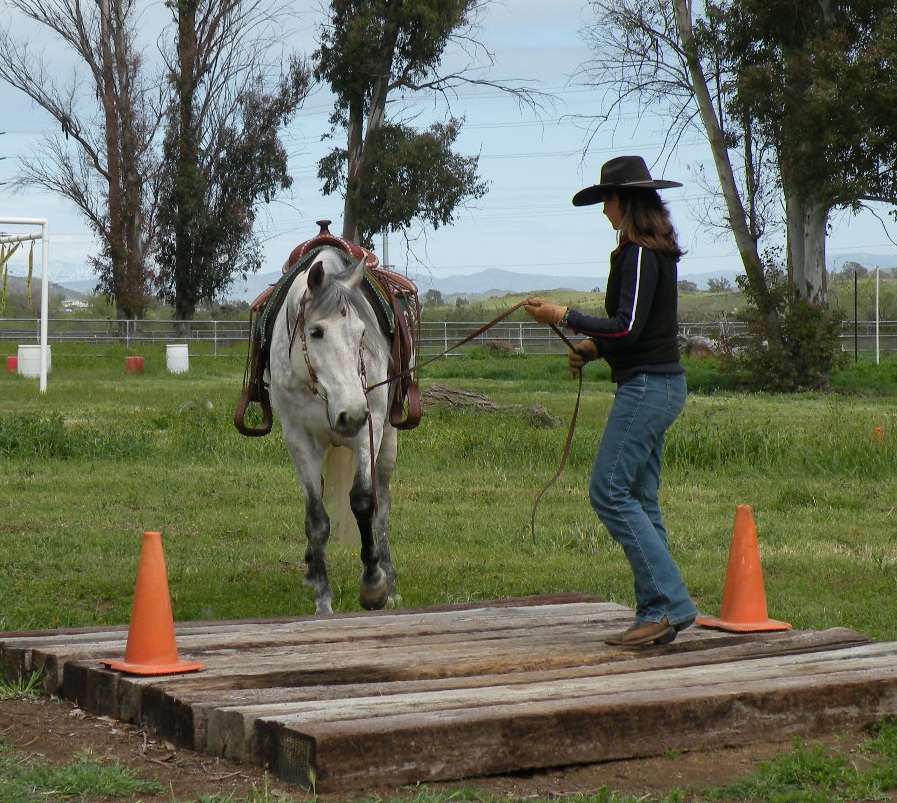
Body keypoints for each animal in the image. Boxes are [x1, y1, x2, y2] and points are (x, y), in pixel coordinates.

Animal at [266, 247, 400, 616]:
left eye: (362, 333)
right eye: (316, 332)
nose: (350, 414)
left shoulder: (371, 426)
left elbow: (364, 501)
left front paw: (373, 585)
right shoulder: (298, 439)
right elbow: (316, 518)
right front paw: (323, 598)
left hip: (388, 441)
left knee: (383, 502)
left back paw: (390, 578)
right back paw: (313, 571)